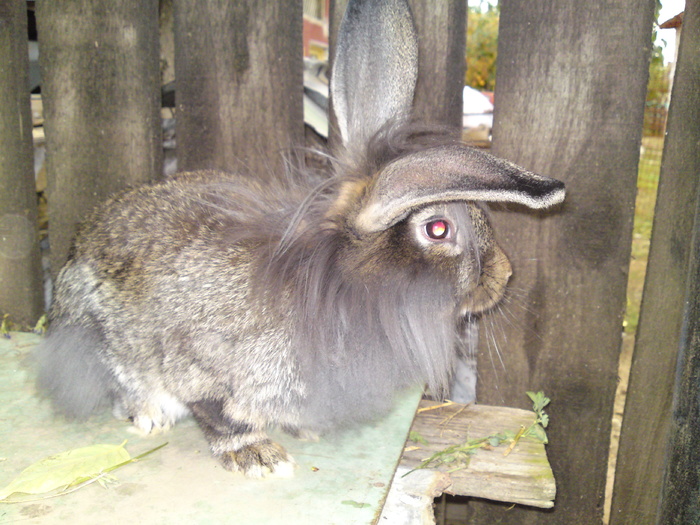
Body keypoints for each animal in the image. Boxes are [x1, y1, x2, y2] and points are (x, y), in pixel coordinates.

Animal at [37, 0, 564, 476]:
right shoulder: (201, 364)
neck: (341, 282)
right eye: (438, 229)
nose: (504, 276)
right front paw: (257, 456)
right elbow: (218, 413)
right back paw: (148, 416)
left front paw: (303, 430)